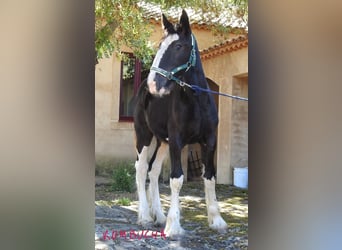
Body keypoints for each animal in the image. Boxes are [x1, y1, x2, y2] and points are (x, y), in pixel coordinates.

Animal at [134, 9, 227, 236]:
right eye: (160, 45)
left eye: (177, 46)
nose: (153, 84)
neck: (196, 101)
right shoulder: (177, 141)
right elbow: (176, 179)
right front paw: (174, 225)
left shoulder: (209, 141)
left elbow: (210, 177)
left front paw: (216, 220)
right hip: (144, 135)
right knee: (141, 169)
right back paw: (145, 216)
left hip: (162, 142)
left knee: (153, 170)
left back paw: (158, 215)